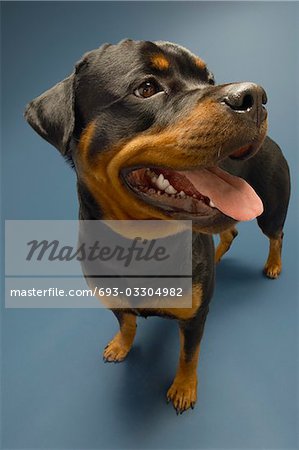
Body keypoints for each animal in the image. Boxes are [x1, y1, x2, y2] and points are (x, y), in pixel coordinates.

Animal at [24, 40, 292, 414]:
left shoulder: (196, 317)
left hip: (272, 207)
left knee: (276, 235)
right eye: (147, 88)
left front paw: (184, 387)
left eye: (209, 78)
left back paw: (273, 264)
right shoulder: (114, 298)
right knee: (230, 230)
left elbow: (188, 355)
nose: (253, 95)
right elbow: (127, 322)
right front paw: (121, 344)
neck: (140, 242)